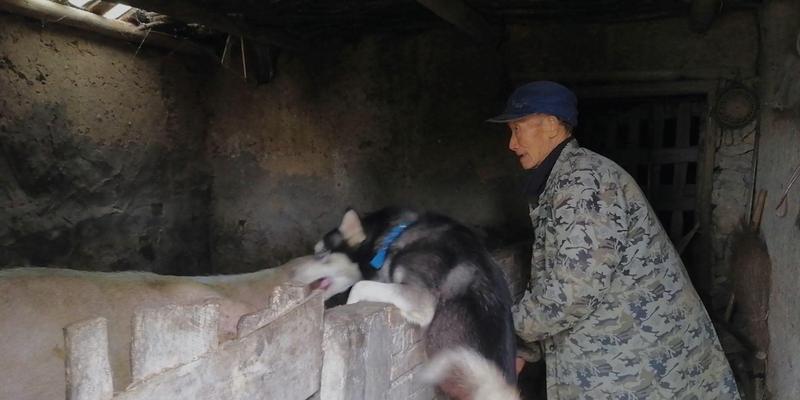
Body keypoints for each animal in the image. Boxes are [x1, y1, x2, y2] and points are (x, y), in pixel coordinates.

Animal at [290, 208, 516, 398]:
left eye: (320, 254)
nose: (292, 274)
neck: (393, 237)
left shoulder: (421, 298)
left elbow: (359, 286)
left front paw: (349, 305)